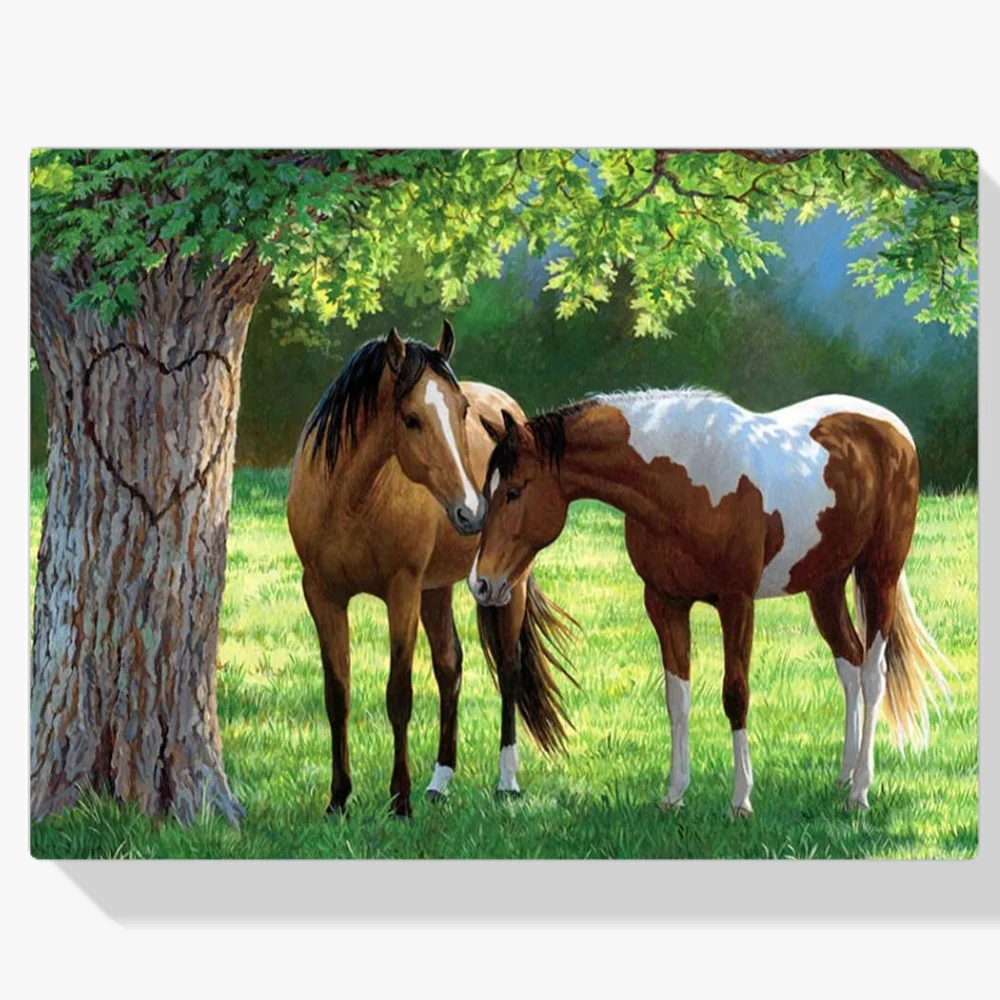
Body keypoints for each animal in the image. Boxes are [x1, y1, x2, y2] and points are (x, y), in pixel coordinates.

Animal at [287, 323, 573, 818]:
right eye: (411, 419)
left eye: (462, 411)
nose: (472, 512)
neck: (347, 501)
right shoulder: (322, 595)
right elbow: (337, 695)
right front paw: (338, 799)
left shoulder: (402, 590)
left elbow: (398, 694)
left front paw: (399, 801)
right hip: (436, 590)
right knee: (450, 665)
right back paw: (440, 781)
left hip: (507, 585)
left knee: (510, 667)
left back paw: (506, 781)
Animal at [469, 388, 952, 816]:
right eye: (486, 491)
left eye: (514, 491)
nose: (482, 583)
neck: (685, 483)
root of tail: (893, 429)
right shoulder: (664, 603)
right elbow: (677, 698)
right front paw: (674, 795)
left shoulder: (736, 602)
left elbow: (735, 694)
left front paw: (741, 801)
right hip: (825, 584)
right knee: (849, 665)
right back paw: (844, 776)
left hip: (878, 575)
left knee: (873, 676)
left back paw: (860, 792)